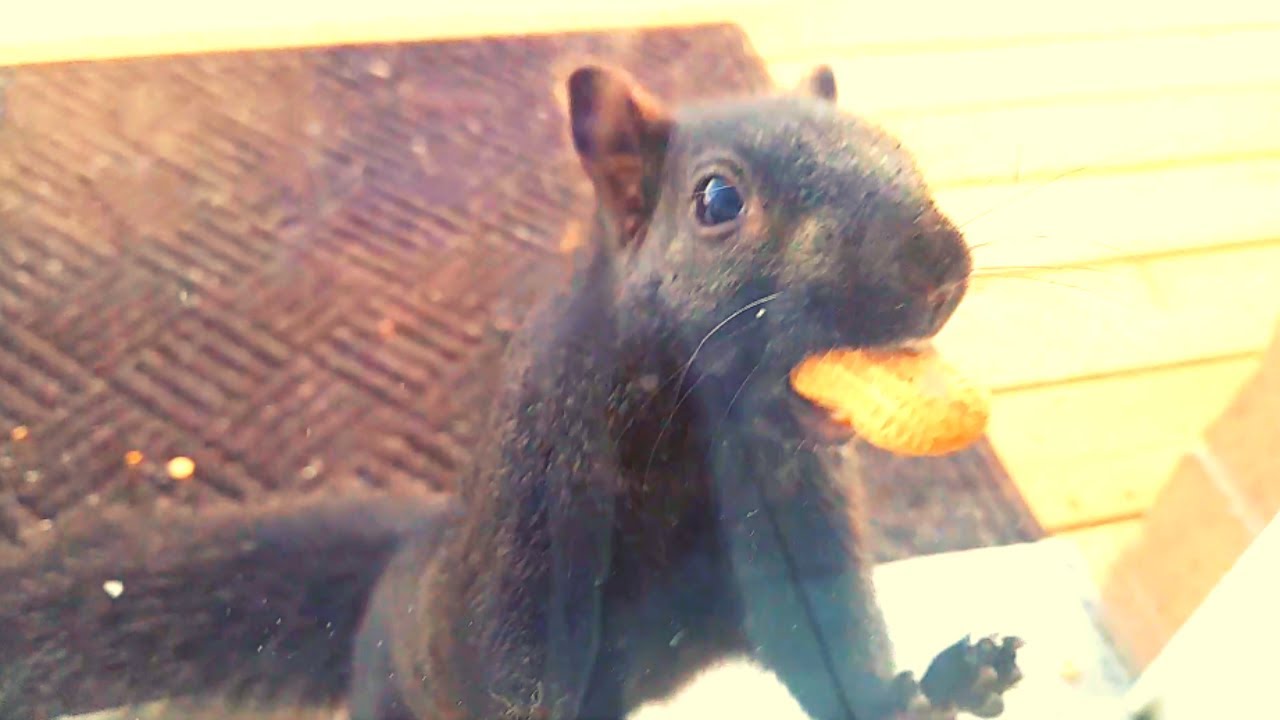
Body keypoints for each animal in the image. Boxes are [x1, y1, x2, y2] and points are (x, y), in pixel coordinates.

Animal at [2, 64, 1023, 720]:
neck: (703, 441)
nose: (938, 265)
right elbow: (521, 666)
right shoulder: (539, 531)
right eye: (718, 201)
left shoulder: (802, 526)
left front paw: (941, 687)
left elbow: (835, 644)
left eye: (899, 149)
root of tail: (407, 554)